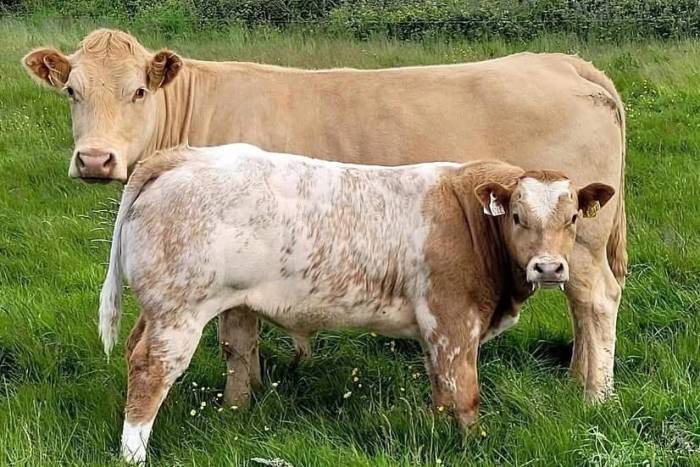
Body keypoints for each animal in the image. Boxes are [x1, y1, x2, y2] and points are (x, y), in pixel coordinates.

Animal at [23, 29, 626, 405]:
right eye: (72, 90)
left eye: (139, 91)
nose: (95, 159)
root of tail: (560, 61)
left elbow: (237, 339)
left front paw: (239, 405)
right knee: (581, 308)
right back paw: (576, 378)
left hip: (579, 240)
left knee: (596, 302)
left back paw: (595, 395)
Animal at [98, 143, 616, 463]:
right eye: (517, 216)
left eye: (573, 218)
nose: (548, 268)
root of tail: (181, 156)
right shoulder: (453, 321)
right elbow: (465, 393)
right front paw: (473, 445)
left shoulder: (435, 331)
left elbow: (441, 390)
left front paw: (439, 433)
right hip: (179, 312)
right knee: (150, 369)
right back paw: (133, 453)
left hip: (167, 309)